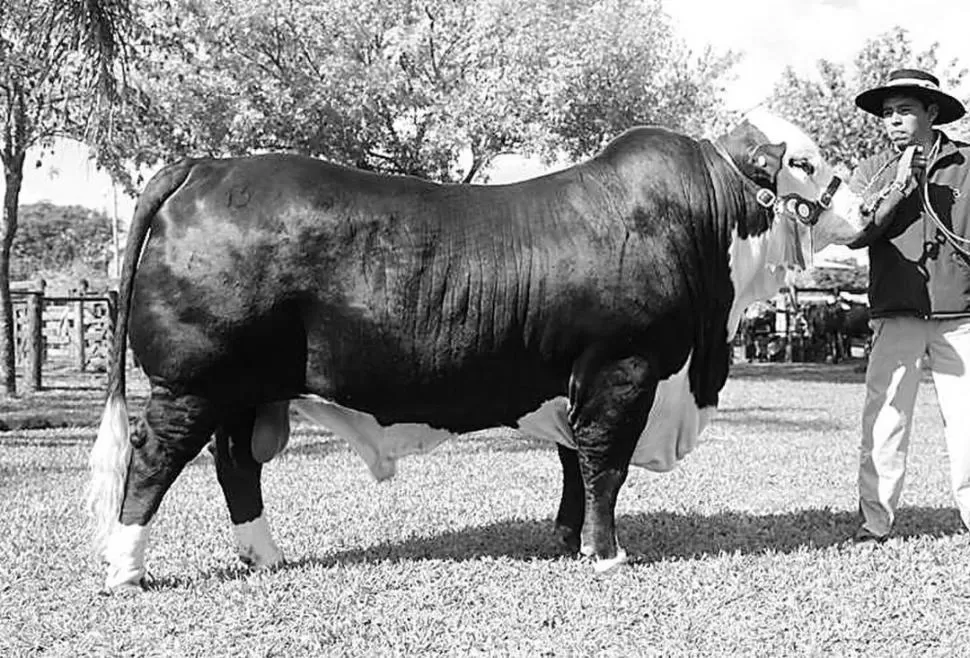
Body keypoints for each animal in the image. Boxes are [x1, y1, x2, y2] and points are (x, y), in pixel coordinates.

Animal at [87, 110, 864, 588]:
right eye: (803, 160)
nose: (860, 209)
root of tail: (208, 166)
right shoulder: (624, 370)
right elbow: (605, 466)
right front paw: (609, 556)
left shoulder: (574, 379)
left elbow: (572, 466)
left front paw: (568, 541)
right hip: (192, 382)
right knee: (154, 461)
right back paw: (126, 568)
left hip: (247, 389)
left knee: (236, 464)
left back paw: (266, 557)